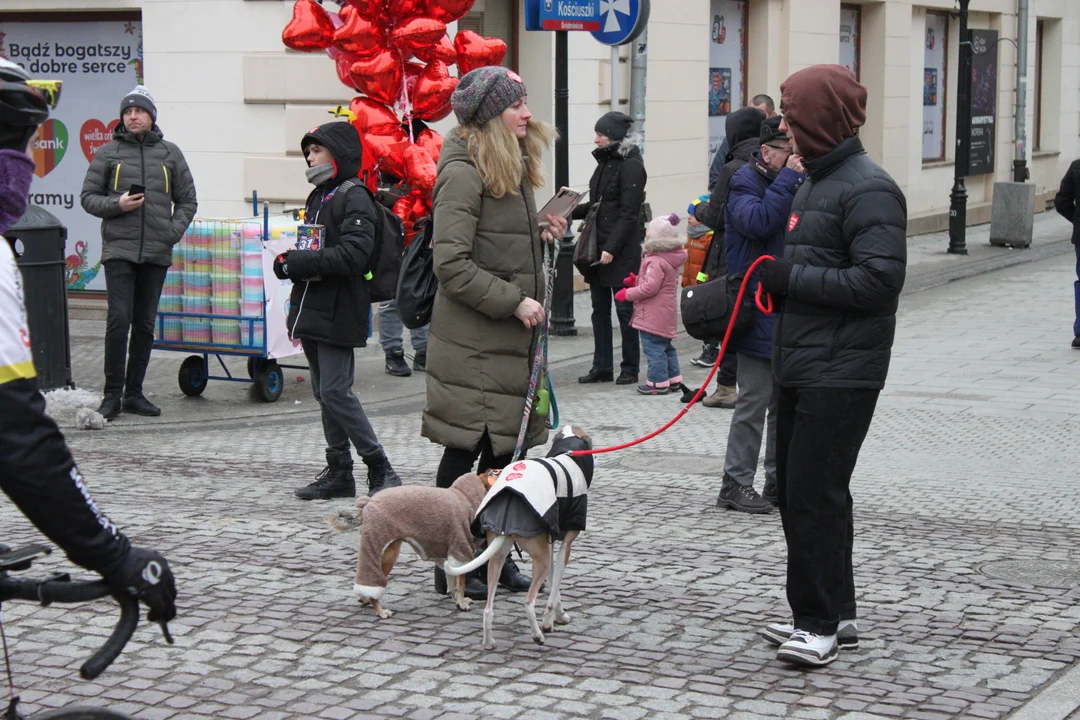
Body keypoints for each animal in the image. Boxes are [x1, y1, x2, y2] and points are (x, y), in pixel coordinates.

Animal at [328, 472, 496, 621]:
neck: (465, 497)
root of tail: (368, 504)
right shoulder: (460, 549)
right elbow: (460, 584)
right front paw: (461, 603)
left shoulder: (451, 557)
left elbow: (452, 583)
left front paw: (458, 600)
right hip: (386, 551)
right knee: (372, 582)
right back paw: (380, 610)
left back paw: (364, 599)